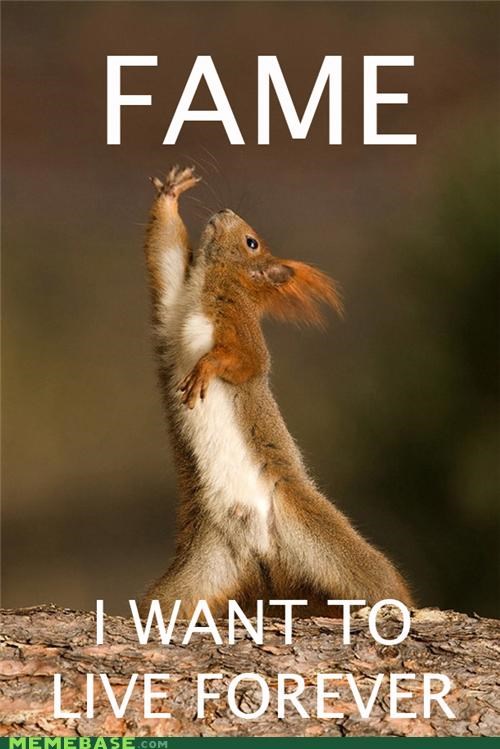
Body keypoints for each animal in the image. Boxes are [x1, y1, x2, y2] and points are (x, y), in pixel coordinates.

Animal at [140, 165, 414, 618]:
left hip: (330, 545)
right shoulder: (171, 303)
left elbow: (244, 361)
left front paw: (206, 369)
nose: (224, 211)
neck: (206, 289)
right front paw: (170, 194)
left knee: (379, 583)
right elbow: (164, 256)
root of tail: (262, 553)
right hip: (197, 571)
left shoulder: (241, 331)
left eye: (251, 242)